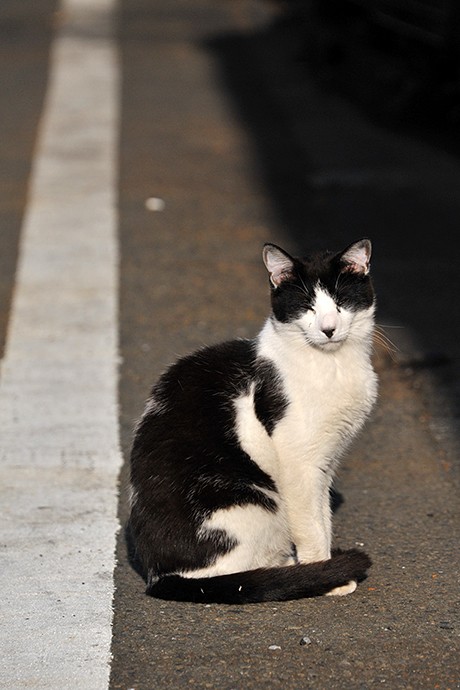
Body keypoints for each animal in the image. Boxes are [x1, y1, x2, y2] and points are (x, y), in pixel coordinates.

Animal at [128, 238, 378, 600]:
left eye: (341, 302)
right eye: (307, 307)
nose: (329, 329)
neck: (332, 365)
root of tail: (159, 576)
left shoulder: (326, 461)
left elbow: (323, 517)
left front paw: (326, 565)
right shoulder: (299, 464)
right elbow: (311, 525)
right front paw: (326, 573)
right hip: (254, 503)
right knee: (241, 572)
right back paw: (291, 572)